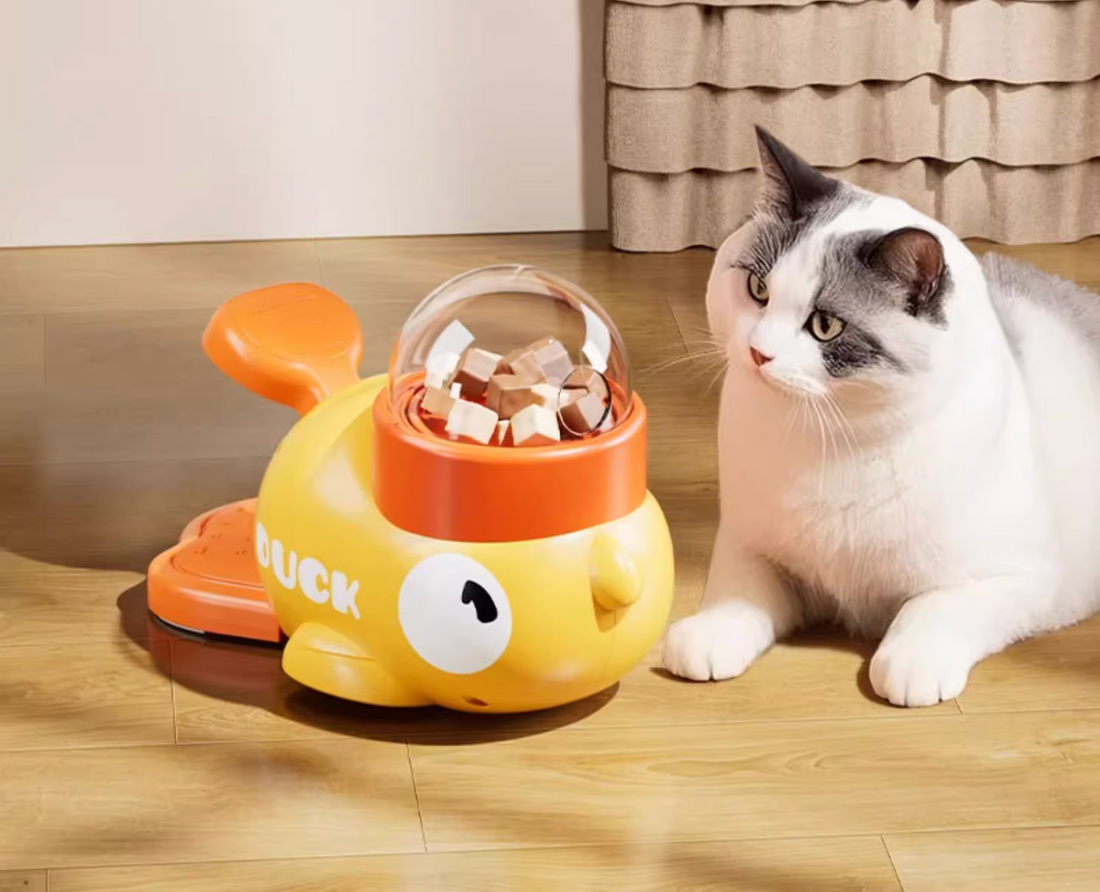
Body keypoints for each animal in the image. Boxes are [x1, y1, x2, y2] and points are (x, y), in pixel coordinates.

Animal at [662, 127, 1100, 707]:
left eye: (825, 326)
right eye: (757, 289)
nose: (758, 353)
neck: (829, 440)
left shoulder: (1020, 578)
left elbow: (932, 609)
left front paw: (909, 665)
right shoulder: (750, 544)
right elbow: (738, 593)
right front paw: (709, 636)